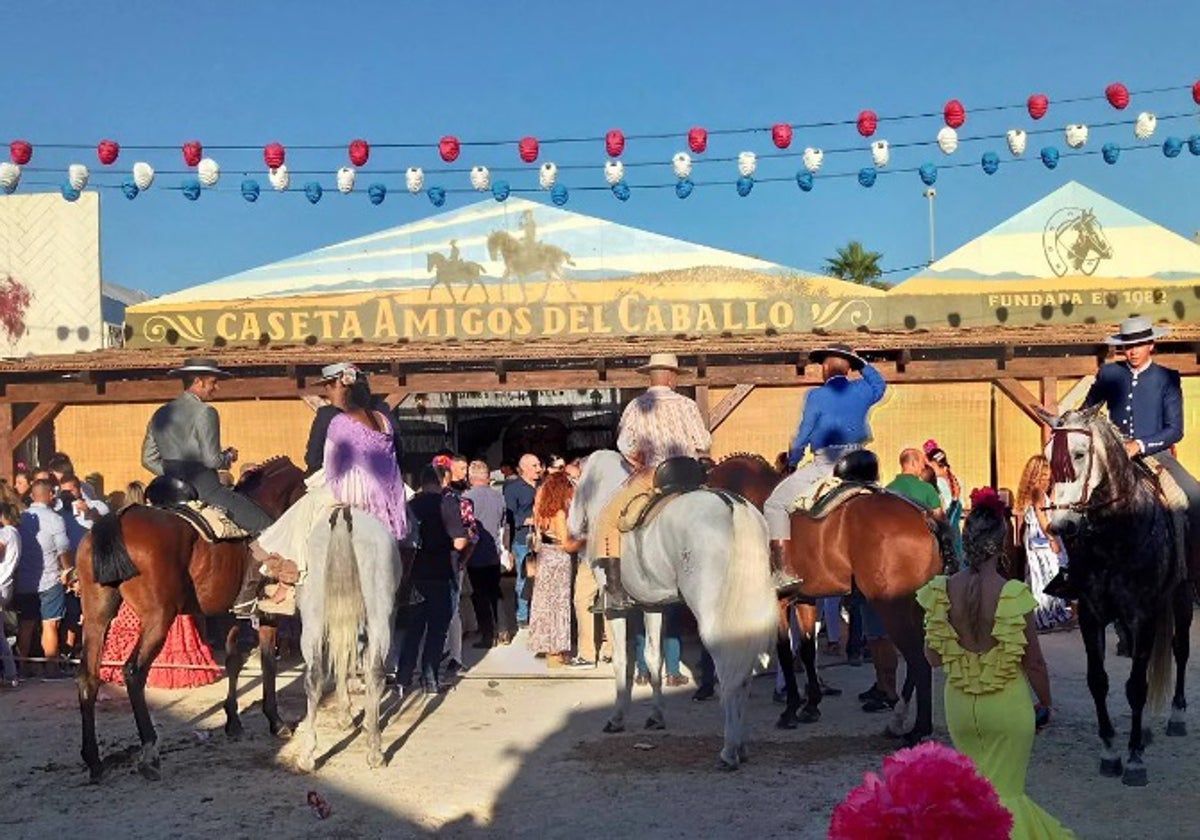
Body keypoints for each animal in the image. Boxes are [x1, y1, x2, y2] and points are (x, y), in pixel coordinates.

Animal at [75, 458, 307, 782]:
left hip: (97, 616)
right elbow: (268, 664)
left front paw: (233, 721)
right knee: (134, 672)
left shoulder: (229, 614)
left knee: (89, 677)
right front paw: (275, 721)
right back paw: (149, 752)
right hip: (158, 618)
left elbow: (234, 661)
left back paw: (94, 761)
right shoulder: (267, 613)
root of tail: (118, 518)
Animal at [295, 506, 403, 772]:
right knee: (375, 673)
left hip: (313, 616)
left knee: (315, 676)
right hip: (379, 616)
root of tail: (343, 516)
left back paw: (307, 755)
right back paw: (375, 749)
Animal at [568, 453, 777, 768]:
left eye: (574, 485)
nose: (571, 528)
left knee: (730, 674)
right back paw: (740, 746)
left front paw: (617, 718)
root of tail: (732, 503)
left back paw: (730, 750)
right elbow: (654, 658)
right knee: (743, 676)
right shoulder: (652, 607)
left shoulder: (614, 612)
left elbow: (622, 662)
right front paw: (656, 716)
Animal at [705, 453, 830, 729]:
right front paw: (811, 704)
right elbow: (807, 649)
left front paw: (791, 708)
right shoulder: (804, 599)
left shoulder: (779, 603)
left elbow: (784, 650)